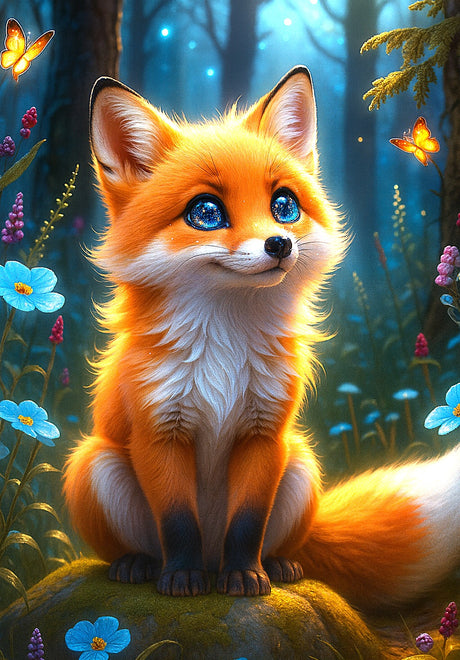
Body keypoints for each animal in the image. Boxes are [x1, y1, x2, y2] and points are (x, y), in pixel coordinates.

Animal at [64, 66, 460, 611]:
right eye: (206, 212)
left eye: (284, 205)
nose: (280, 244)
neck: (225, 353)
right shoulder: (159, 431)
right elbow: (178, 522)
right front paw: (181, 579)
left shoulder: (265, 432)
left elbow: (248, 522)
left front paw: (246, 577)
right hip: (94, 463)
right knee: (149, 543)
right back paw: (142, 565)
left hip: (301, 464)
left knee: (272, 541)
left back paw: (275, 565)